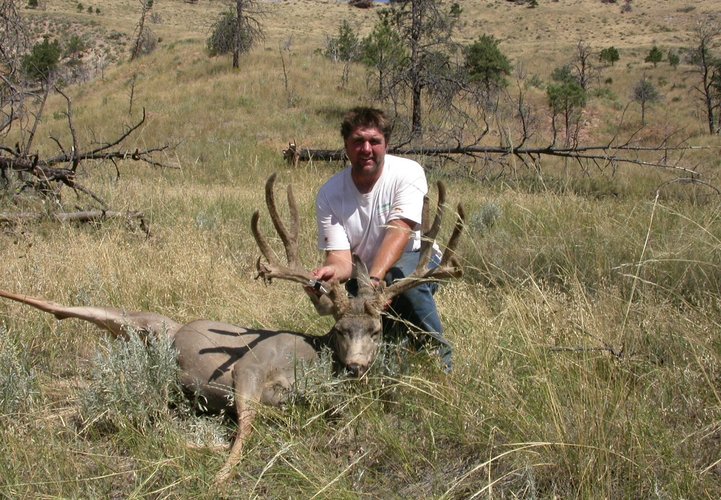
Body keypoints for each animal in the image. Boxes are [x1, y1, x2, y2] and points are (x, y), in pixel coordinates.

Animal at [0, 173, 465, 483]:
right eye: (339, 330)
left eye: (376, 330)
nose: (356, 367)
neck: (309, 357)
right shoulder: (251, 367)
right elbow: (244, 429)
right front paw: (221, 470)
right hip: (142, 321)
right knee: (71, 308)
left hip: (139, 334)